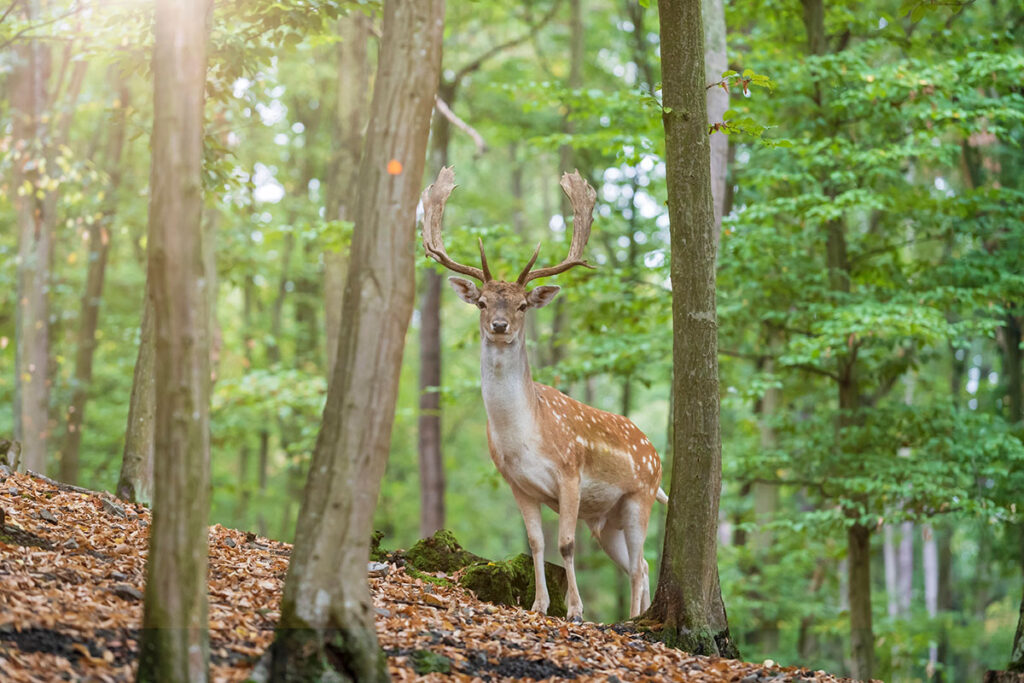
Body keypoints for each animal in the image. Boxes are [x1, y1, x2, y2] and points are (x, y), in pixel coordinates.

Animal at [420, 166, 668, 622]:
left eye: (522, 305)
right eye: (482, 303)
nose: (500, 325)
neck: (524, 436)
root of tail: (656, 453)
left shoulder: (570, 472)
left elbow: (565, 544)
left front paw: (575, 610)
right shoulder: (518, 484)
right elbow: (536, 543)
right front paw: (539, 604)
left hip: (639, 495)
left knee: (642, 561)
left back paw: (631, 619)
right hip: (604, 519)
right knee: (638, 563)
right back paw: (637, 615)